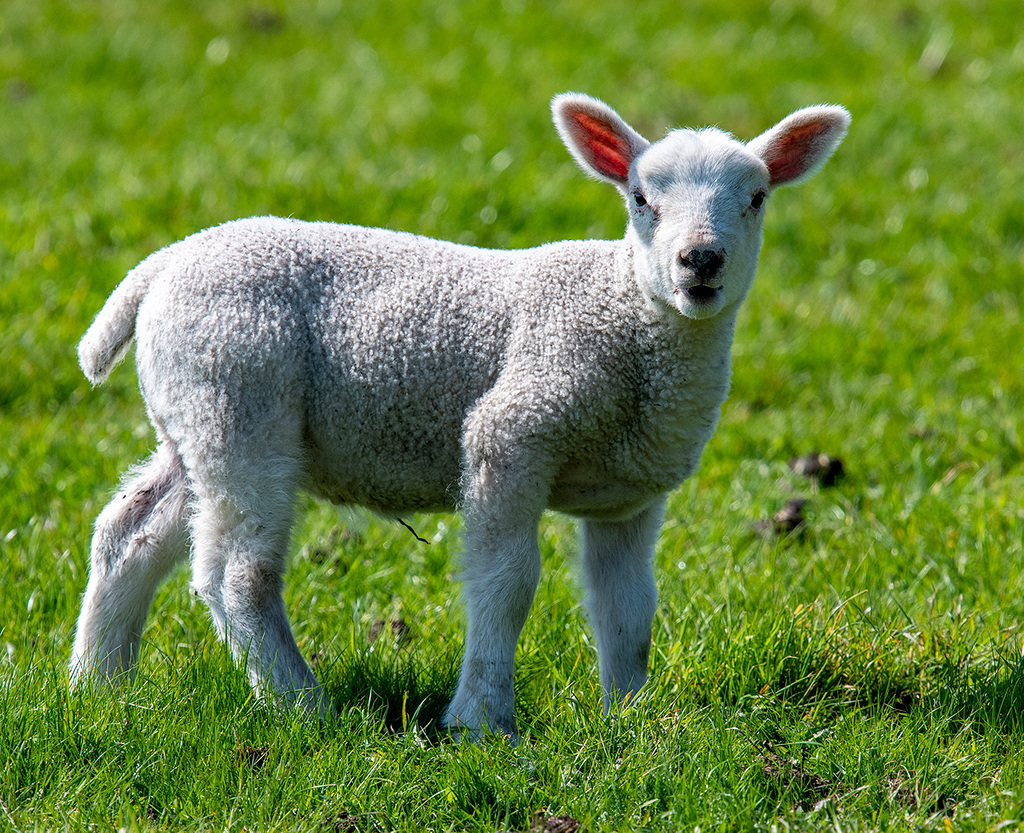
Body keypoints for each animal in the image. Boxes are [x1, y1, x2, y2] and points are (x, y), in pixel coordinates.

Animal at [72, 92, 851, 741]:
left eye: (757, 198)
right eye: (639, 199)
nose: (701, 260)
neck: (628, 315)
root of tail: (163, 266)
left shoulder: (629, 494)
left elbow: (628, 608)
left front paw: (632, 719)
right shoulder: (511, 434)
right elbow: (507, 582)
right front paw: (481, 721)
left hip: (193, 417)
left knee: (132, 531)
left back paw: (98, 688)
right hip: (240, 400)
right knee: (237, 572)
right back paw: (303, 707)